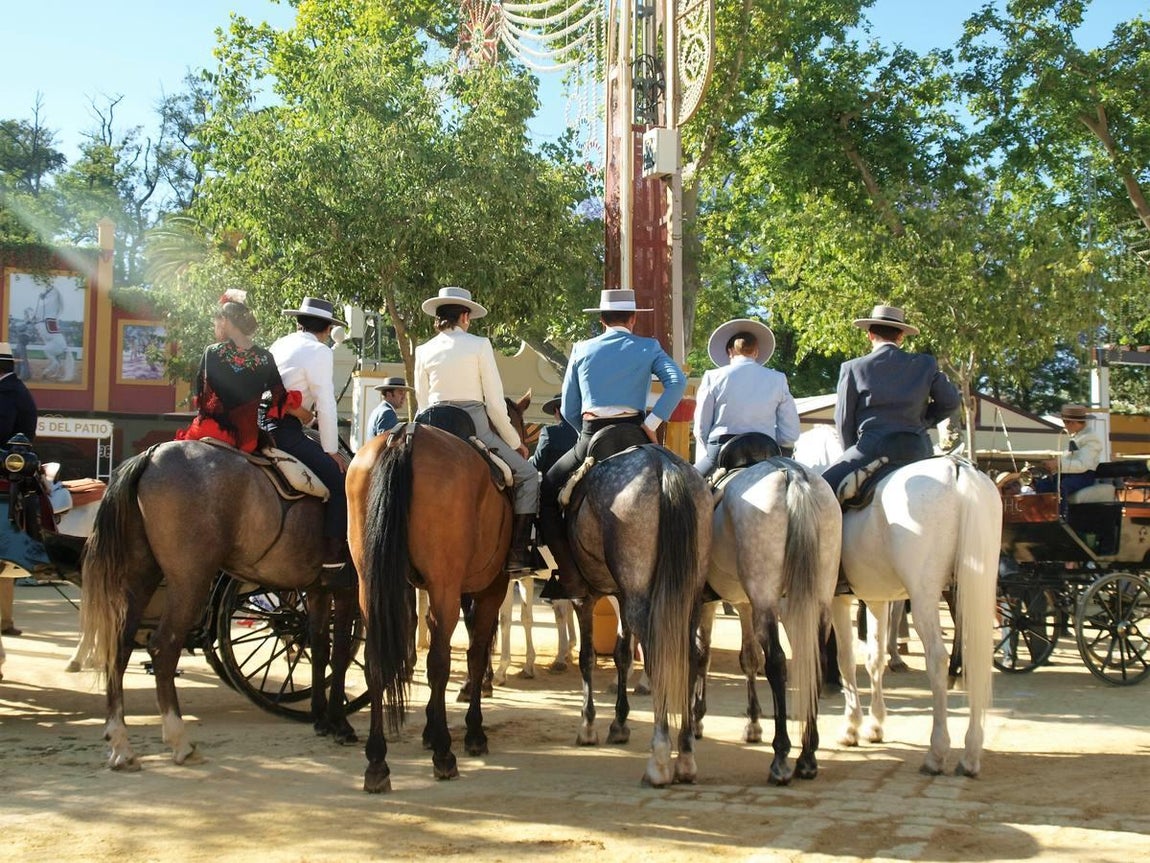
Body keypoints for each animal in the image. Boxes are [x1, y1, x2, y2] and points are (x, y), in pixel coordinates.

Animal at [83, 440, 359, 771]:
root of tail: (152, 455)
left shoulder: (318, 591)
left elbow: (319, 648)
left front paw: (321, 719)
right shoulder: (348, 590)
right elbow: (340, 652)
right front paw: (340, 724)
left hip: (141, 576)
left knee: (120, 645)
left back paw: (121, 744)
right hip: (190, 580)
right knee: (163, 647)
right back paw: (179, 740)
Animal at [346, 394, 530, 792]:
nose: (524, 446)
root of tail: (404, 438)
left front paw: (431, 728)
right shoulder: (488, 589)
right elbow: (475, 654)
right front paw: (471, 731)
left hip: (372, 586)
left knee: (376, 661)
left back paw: (377, 761)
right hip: (448, 587)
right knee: (439, 663)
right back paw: (445, 754)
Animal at [564, 442, 712, 788]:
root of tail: (663, 465)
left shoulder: (584, 597)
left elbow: (588, 657)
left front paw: (588, 725)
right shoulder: (622, 595)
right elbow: (622, 655)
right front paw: (619, 723)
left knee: (660, 657)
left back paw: (659, 761)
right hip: (687, 598)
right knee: (691, 656)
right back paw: (685, 756)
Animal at [693, 456, 841, 785]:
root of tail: (791, 473)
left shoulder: (706, 602)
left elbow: (701, 656)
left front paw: (695, 717)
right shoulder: (744, 604)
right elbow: (748, 658)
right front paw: (753, 722)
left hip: (766, 597)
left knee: (776, 662)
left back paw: (781, 757)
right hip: (816, 598)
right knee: (817, 661)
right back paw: (807, 755)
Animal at [794, 427, 1002, 777]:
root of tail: (958, 469)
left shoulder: (837, 600)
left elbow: (846, 659)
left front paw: (851, 727)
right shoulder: (878, 599)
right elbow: (874, 658)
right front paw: (875, 725)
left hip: (925, 596)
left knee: (937, 659)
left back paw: (937, 752)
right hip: (972, 592)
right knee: (974, 658)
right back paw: (971, 754)